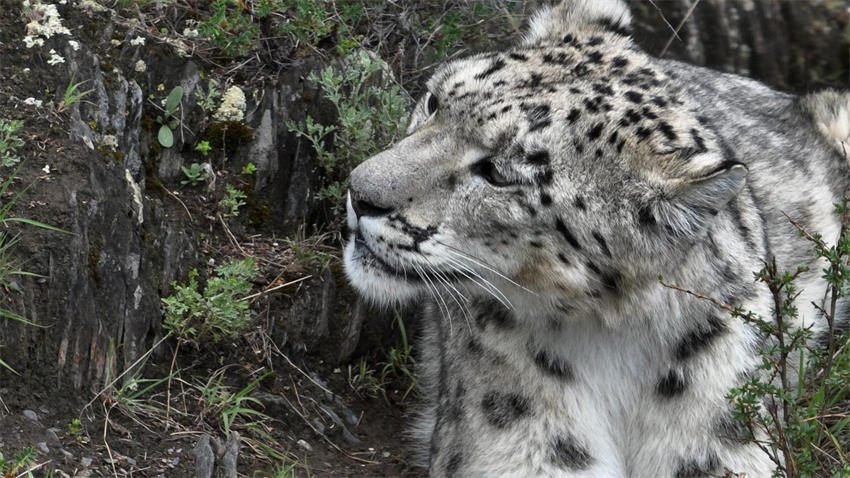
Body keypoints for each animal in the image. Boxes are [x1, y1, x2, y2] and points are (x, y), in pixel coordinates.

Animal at [343, 1, 850, 476]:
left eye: (499, 173)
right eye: (434, 102)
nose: (359, 193)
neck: (618, 342)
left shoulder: (720, 441)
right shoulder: (521, 444)